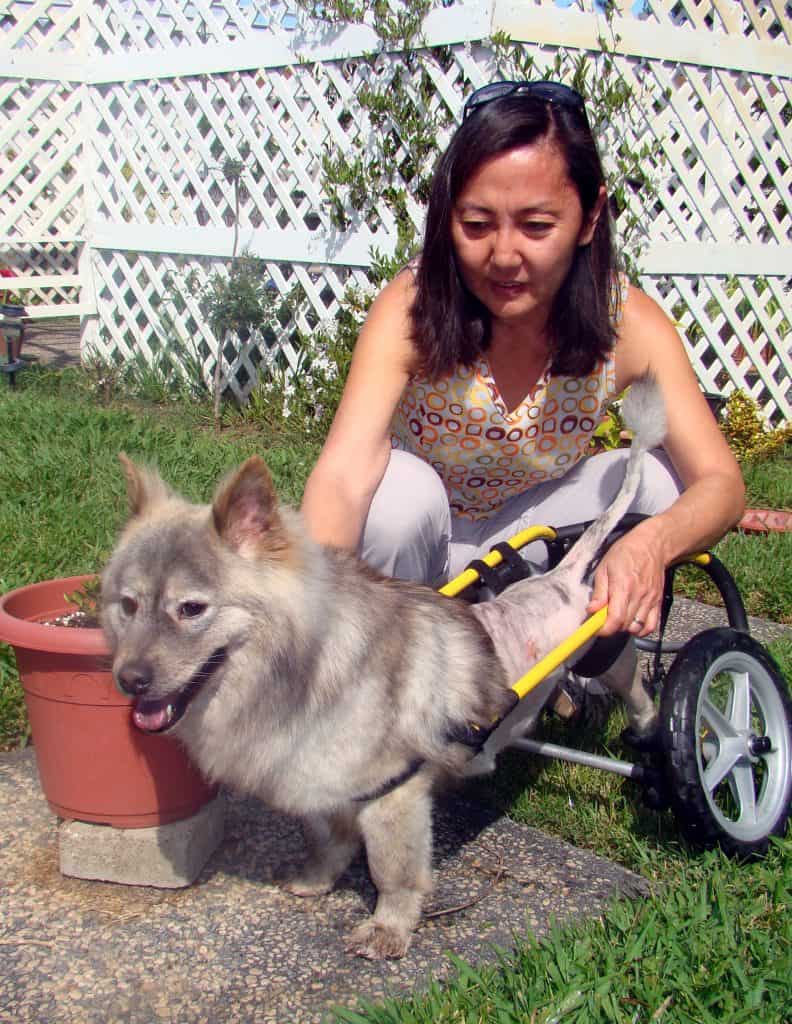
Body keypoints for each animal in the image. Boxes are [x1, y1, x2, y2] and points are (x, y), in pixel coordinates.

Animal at [101, 376, 663, 958]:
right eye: (128, 605)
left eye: (192, 608)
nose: (128, 680)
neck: (302, 669)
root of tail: (564, 576)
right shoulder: (322, 785)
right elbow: (328, 842)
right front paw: (316, 881)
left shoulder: (394, 796)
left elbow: (394, 873)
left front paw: (388, 930)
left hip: (608, 650)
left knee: (638, 688)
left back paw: (646, 730)